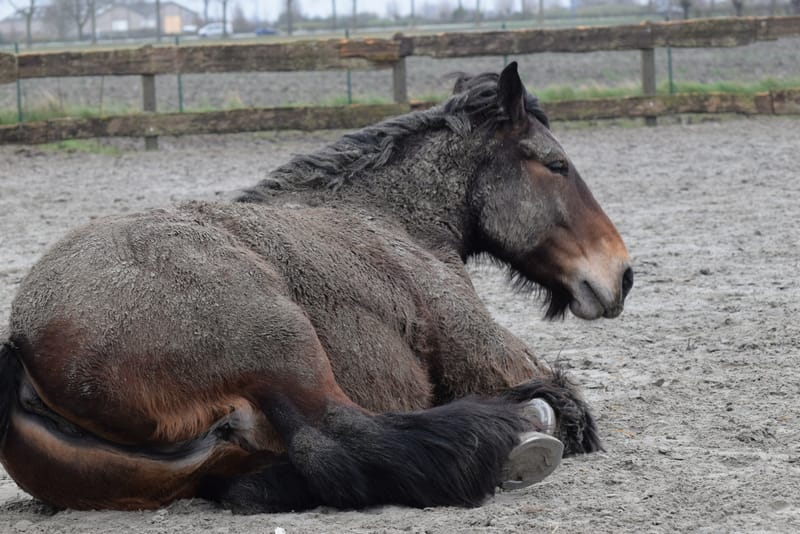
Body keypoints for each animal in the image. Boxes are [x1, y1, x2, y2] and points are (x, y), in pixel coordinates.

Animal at [0, 62, 632, 512]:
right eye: (556, 165)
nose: (621, 275)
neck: (389, 217)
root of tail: (24, 344)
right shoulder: (484, 352)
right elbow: (568, 399)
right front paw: (543, 410)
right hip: (283, 345)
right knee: (338, 436)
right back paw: (512, 433)